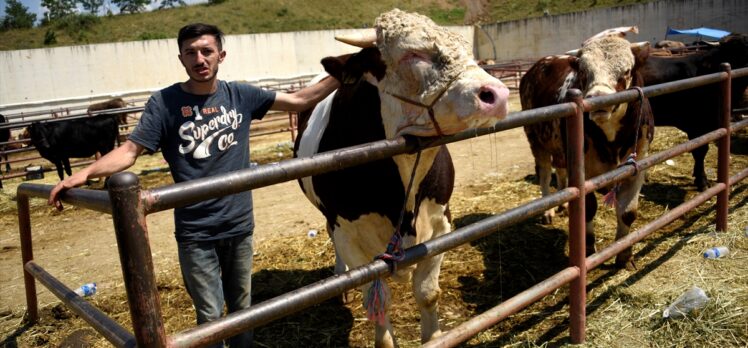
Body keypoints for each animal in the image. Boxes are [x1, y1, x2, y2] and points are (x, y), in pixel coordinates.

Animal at [292, 8, 508, 348]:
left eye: (468, 50)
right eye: (412, 54)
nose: (497, 94)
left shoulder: (442, 223)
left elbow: (428, 293)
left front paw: (434, 336)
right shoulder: (349, 234)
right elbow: (377, 301)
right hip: (331, 219)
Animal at [520, 28, 656, 270]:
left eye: (626, 70)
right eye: (584, 71)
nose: (598, 99)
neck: (611, 139)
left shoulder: (638, 163)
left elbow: (628, 212)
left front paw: (624, 254)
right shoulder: (585, 173)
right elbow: (588, 209)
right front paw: (589, 250)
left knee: (560, 169)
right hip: (536, 140)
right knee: (544, 174)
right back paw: (548, 211)